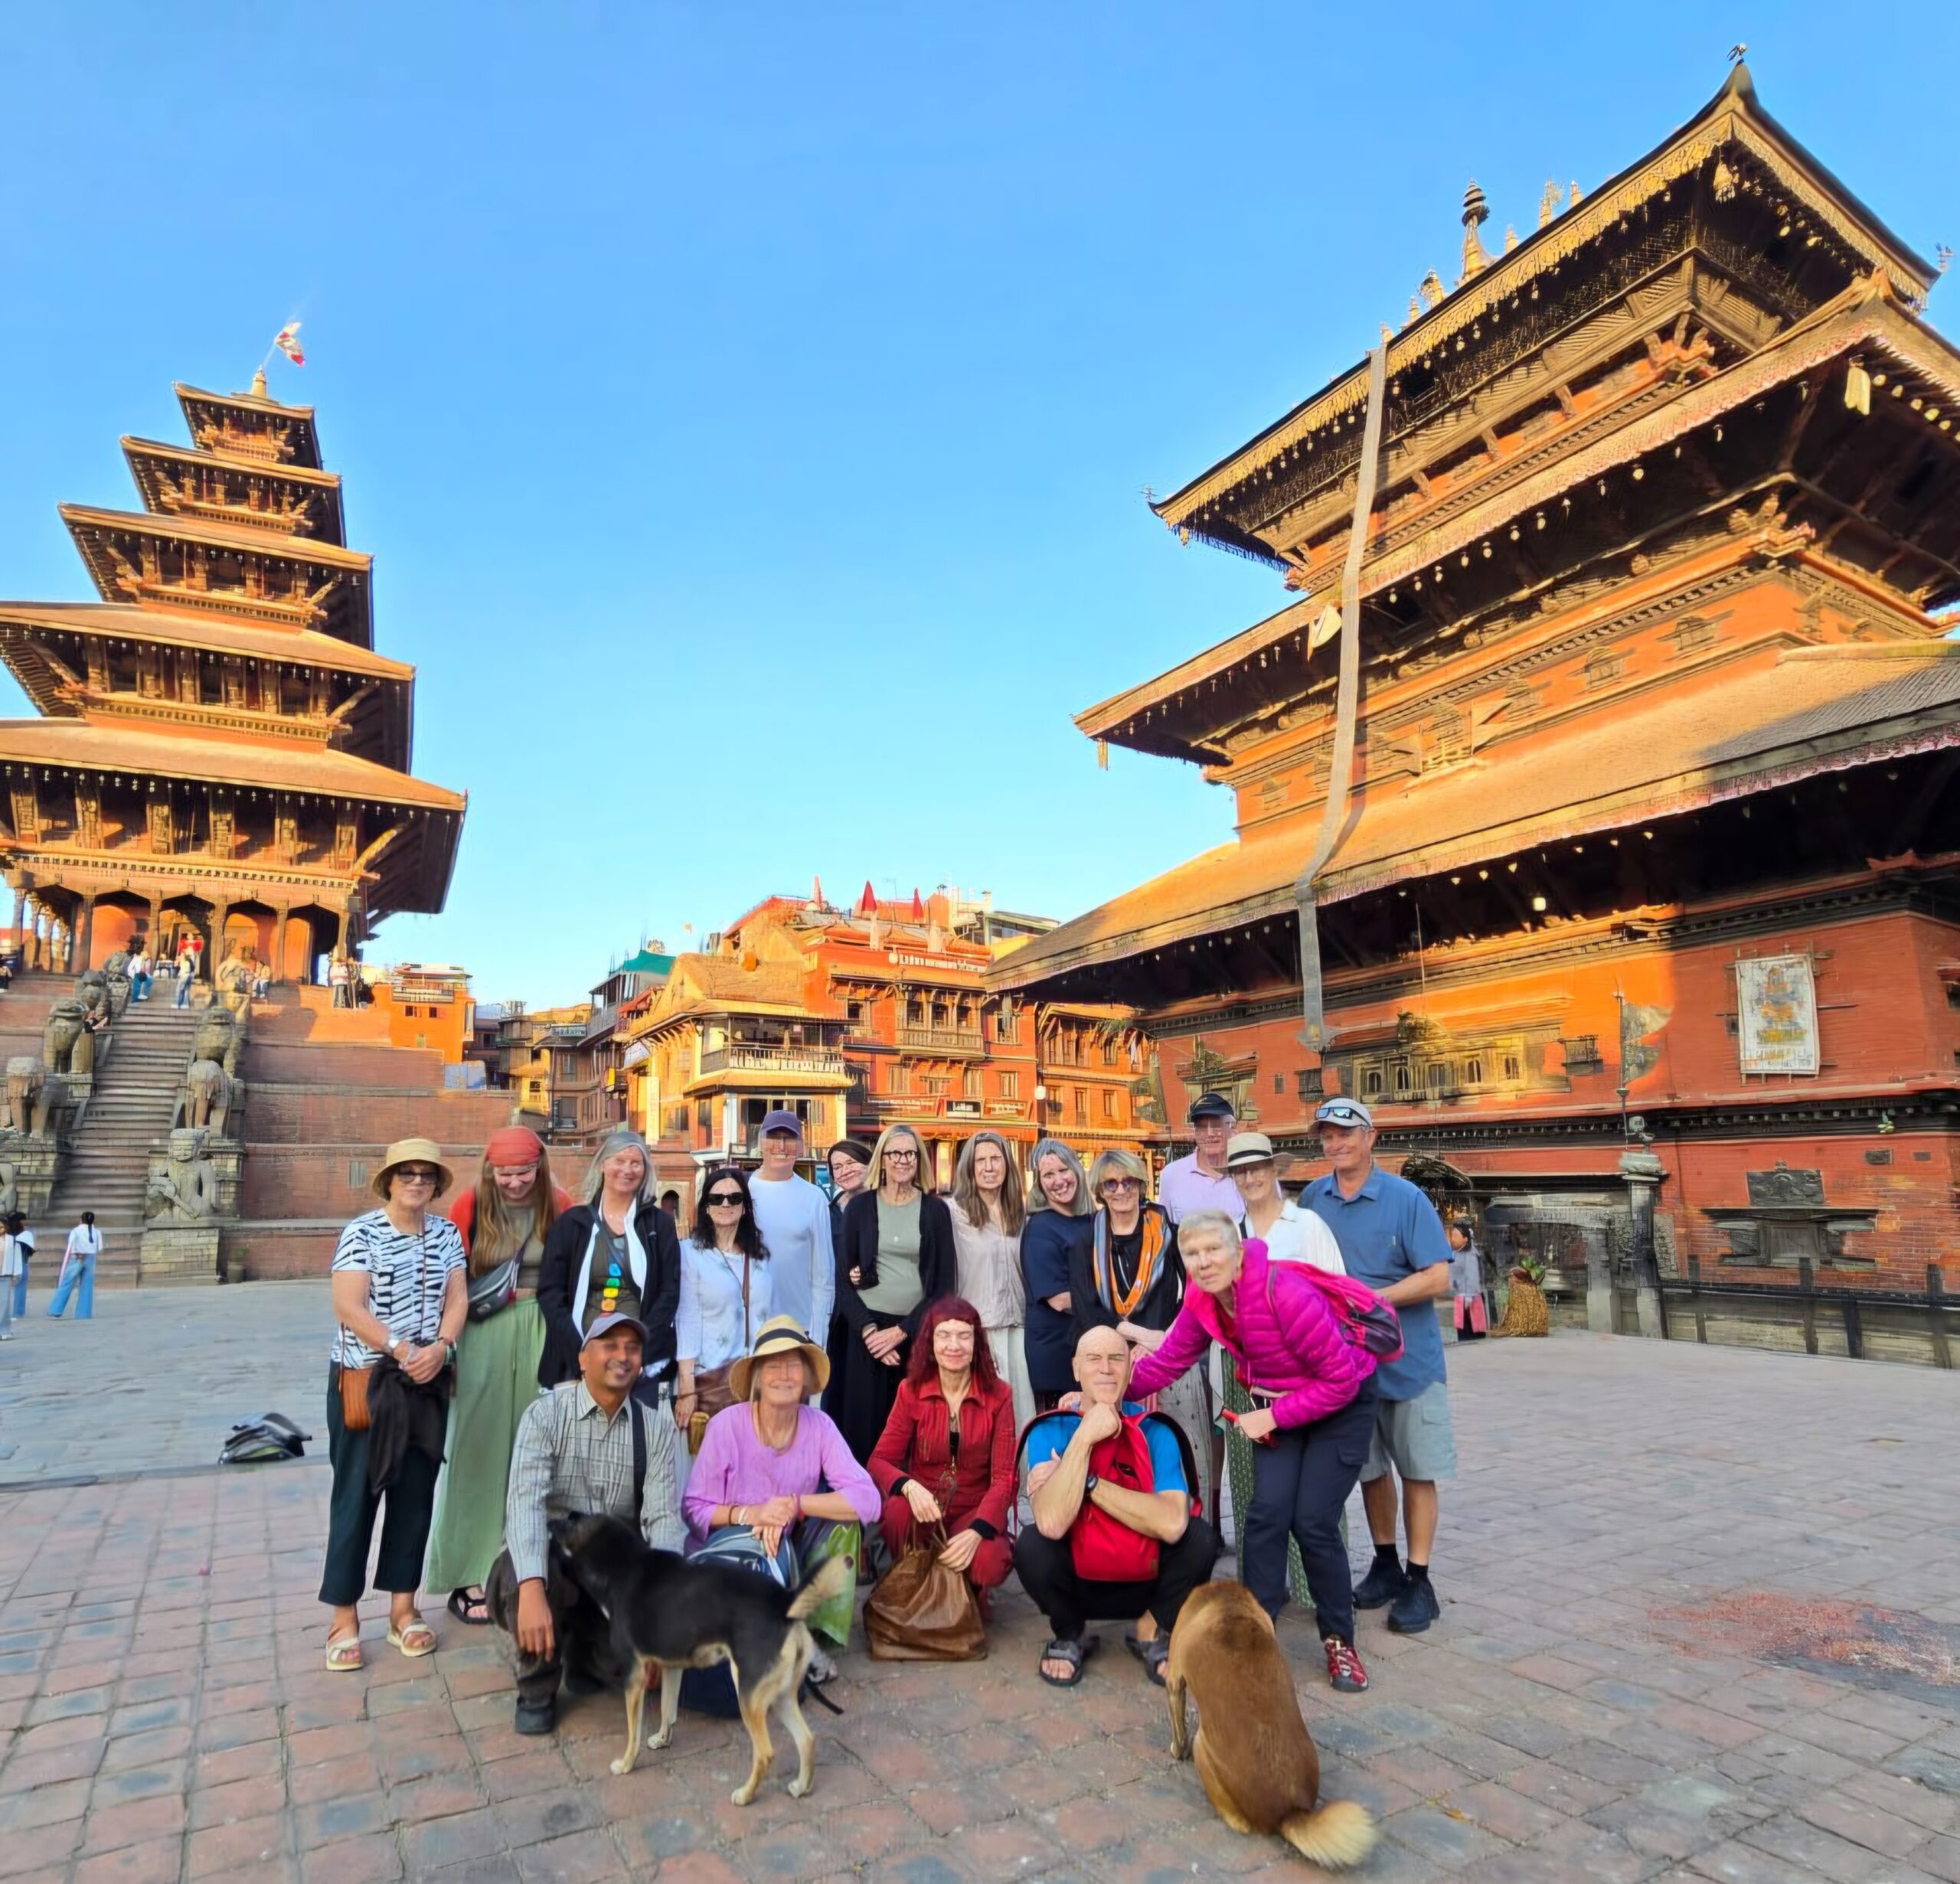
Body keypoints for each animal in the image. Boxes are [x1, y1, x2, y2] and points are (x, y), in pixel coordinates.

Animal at [553, 1512, 853, 1805]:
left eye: (568, 1521)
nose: (549, 1522)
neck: (623, 1564)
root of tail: (783, 1602)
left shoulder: (634, 1677)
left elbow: (633, 1732)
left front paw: (626, 1764)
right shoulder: (672, 1667)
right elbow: (667, 1709)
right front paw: (663, 1740)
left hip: (748, 1696)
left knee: (765, 1753)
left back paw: (745, 1796)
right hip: (780, 1696)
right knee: (807, 1739)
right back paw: (802, 1787)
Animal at [1165, 1581, 1378, 1869]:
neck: (1229, 1603)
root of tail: (1288, 1812)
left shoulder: (1174, 1679)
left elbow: (1178, 1728)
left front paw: (1177, 1751)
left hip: (1202, 1746)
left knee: (1240, 1822)